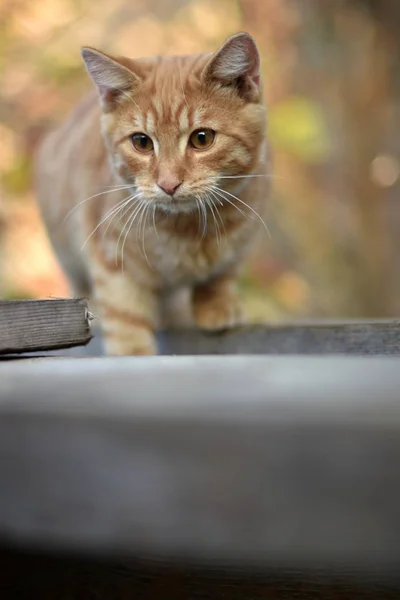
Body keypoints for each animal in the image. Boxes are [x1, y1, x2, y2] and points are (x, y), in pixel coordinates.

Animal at [35, 32, 268, 354]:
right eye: (142, 142)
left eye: (202, 138)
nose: (168, 184)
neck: (188, 230)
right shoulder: (111, 257)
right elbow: (125, 315)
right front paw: (132, 352)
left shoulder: (243, 237)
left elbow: (222, 273)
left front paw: (217, 304)